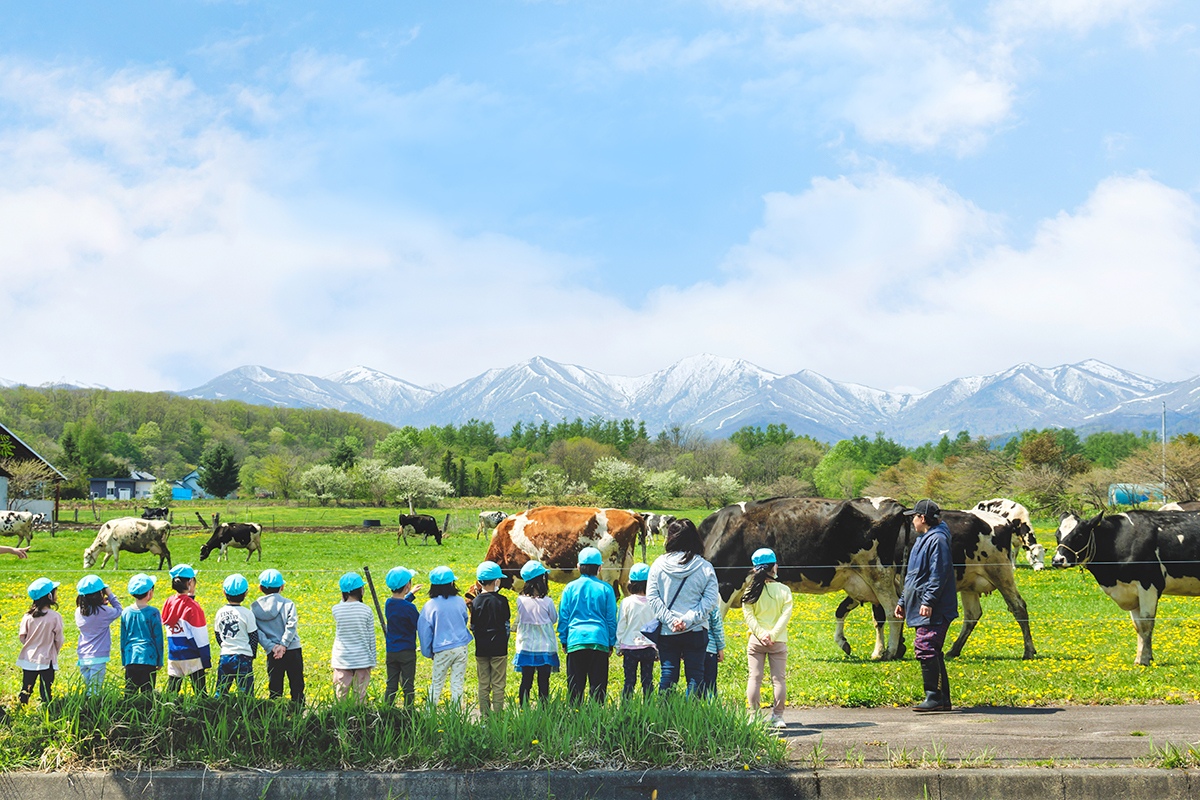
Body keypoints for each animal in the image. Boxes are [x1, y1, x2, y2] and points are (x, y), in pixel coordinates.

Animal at [700, 496, 902, 662]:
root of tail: (894, 503)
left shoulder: (725, 583)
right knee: (881, 613)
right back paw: (888, 650)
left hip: (879, 574)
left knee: (892, 610)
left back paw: (890, 652)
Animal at [830, 510, 1036, 662]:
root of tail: (1003, 521)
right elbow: (845, 610)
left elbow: (882, 617)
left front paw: (884, 650)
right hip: (970, 582)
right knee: (972, 615)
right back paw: (954, 650)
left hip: (1001, 573)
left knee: (1018, 607)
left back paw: (1028, 650)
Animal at [1051, 510, 1200, 666]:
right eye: (1057, 535)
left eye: (1079, 535)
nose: (1057, 560)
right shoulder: (1131, 591)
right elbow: (1138, 625)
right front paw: (1141, 659)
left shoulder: (1148, 585)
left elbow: (1146, 623)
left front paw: (1144, 659)